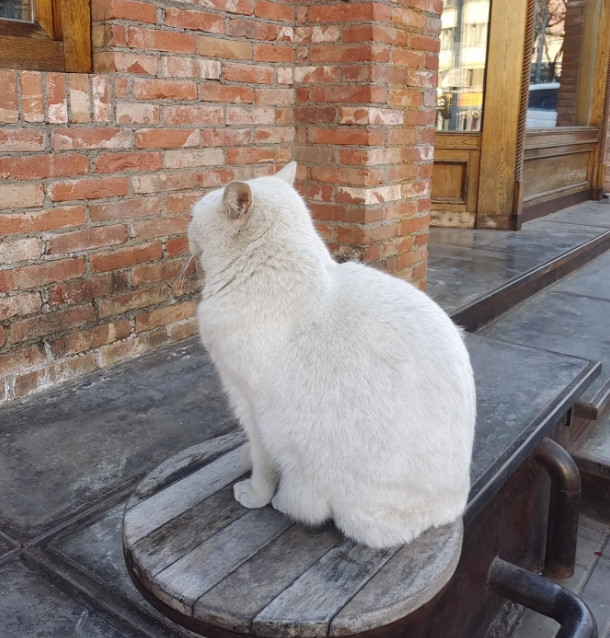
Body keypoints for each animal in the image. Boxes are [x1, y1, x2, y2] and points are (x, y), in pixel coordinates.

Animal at [186, 164, 476, 552]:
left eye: (192, 218)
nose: (187, 234)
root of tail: (453, 507)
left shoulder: (248, 403)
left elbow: (262, 462)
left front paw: (254, 493)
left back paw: (285, 502)